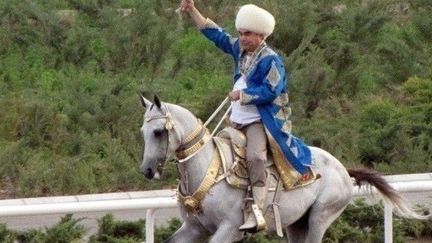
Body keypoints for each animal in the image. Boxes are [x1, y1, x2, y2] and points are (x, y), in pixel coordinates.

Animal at [139, 94, 426, 242]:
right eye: (143, 131)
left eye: (158, 132)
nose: (147, 171)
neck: (209, 170)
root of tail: (343, 169)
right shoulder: (193, 228)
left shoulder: (229, 229)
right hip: (296, 224)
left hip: (320, 218)